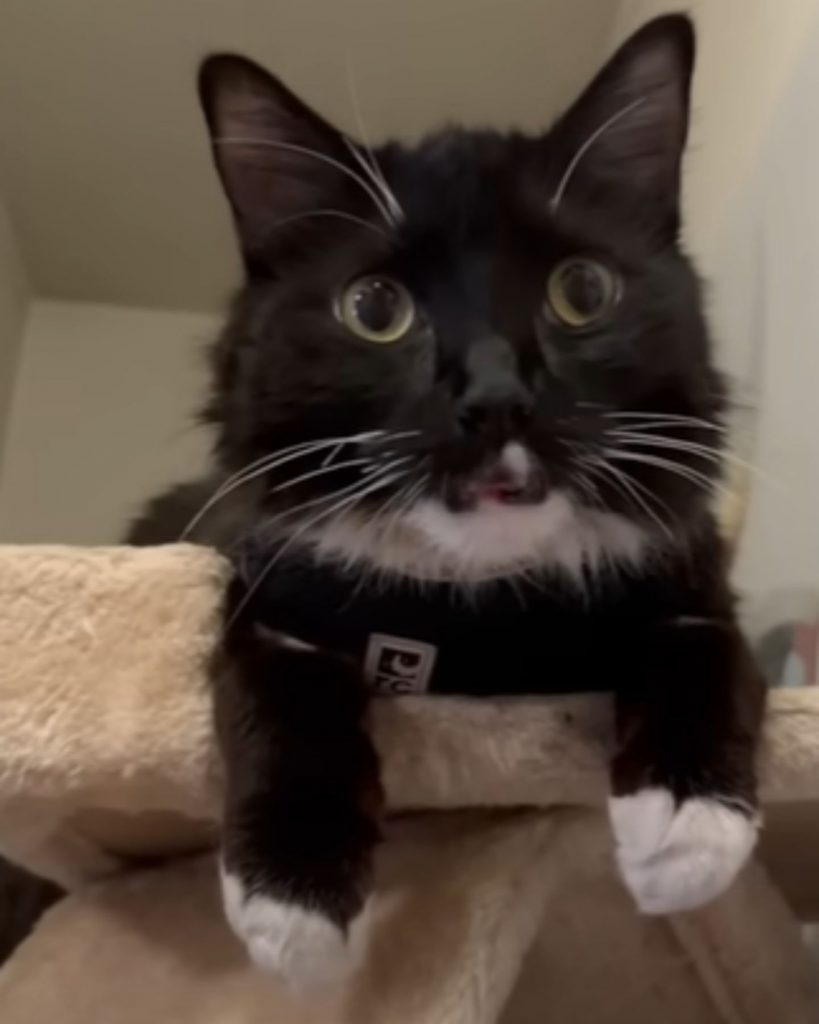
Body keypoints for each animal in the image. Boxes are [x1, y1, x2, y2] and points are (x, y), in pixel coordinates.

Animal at [129, 16, 769, 991]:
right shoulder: (263, 580)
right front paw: (294, 905)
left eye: (583, 291)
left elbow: (709, 640)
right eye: (373, 308)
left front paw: (687, 827)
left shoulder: (684, 570)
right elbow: (275, 680)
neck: (481, 609)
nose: (497, 397)